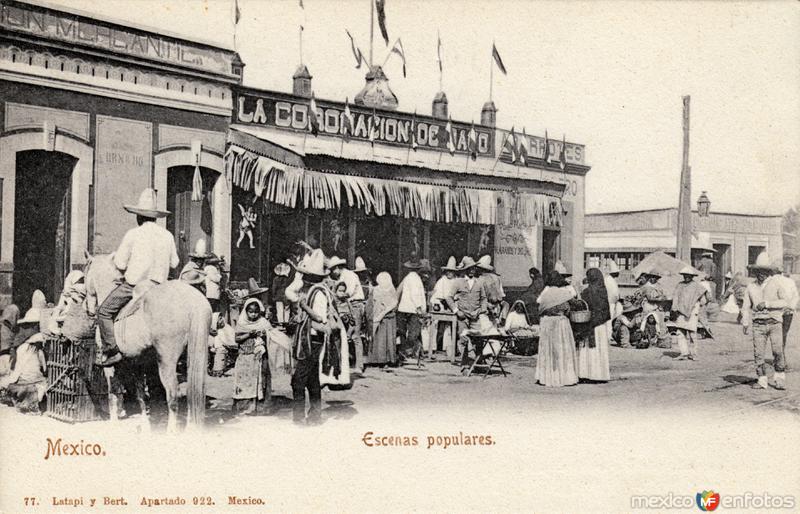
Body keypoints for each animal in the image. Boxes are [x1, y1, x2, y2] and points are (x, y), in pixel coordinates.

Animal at [83, 250, 212, 430]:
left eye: (85, 274)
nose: (87, 309)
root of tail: (192, 301)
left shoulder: (112, 365)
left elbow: (113, 393)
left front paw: (114, 422)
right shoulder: (138, 363)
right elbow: (141, 395)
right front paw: (145, 424)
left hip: (166, 361)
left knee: (173, 395)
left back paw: (171, 431)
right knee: (192, 393)